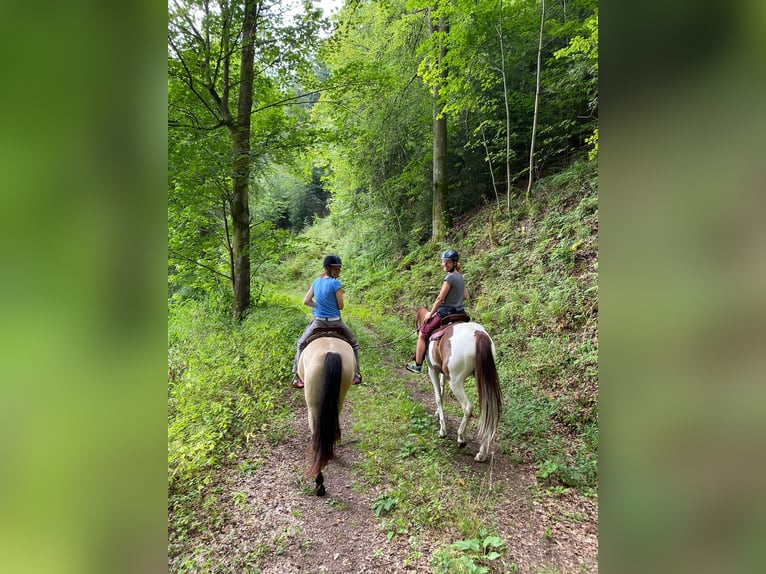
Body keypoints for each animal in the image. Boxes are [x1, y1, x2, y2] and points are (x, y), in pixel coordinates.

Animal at [415, 306, 502, 462]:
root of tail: (479, 335)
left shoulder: (432, 370)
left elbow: (438, 397)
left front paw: (442, 430)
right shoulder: (443, 372)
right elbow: (442, 391)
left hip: (455, 381)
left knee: (468, 407)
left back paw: (461, 438)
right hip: (482, 377)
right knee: (487, 408)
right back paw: (481, 454)